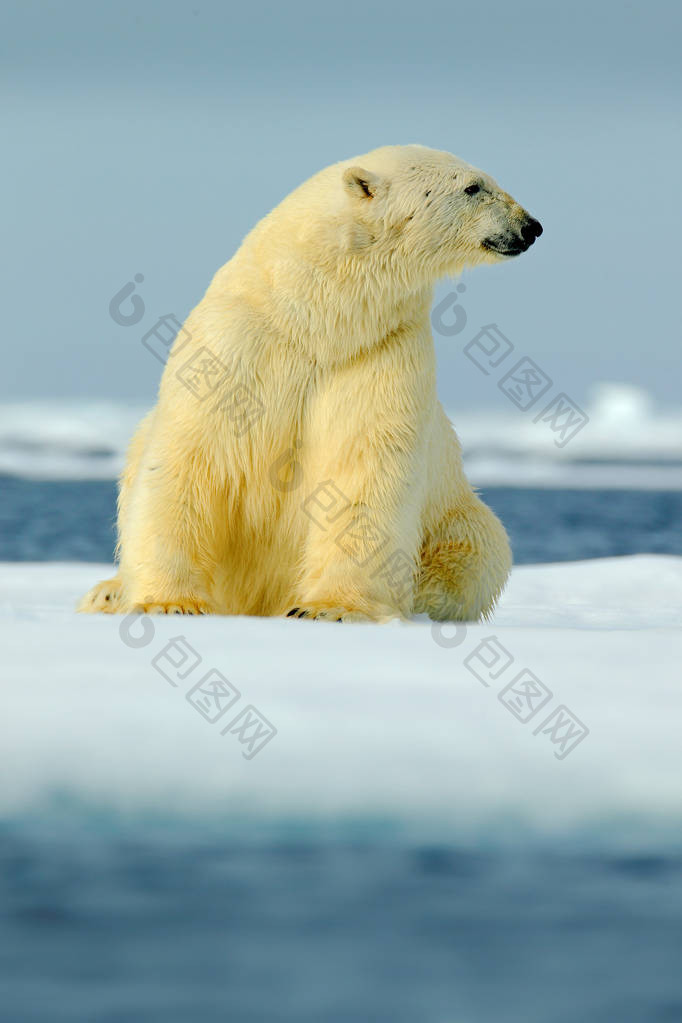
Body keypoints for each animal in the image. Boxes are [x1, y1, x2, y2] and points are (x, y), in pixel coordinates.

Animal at [77, 147, 539, 617]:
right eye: (473, 187)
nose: (530, 226)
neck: (315, 320)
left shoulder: (380, 354)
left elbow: (364, 466)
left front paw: (330, 608)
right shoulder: (235, 343)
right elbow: (192, 455)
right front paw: (170, 602)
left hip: (456, 514)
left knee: (478, 552)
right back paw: (109, 591)